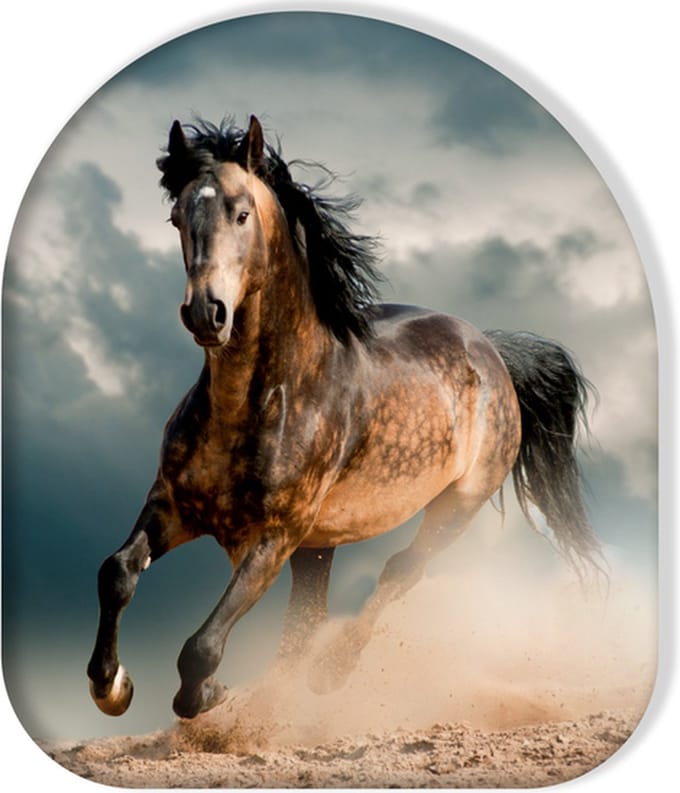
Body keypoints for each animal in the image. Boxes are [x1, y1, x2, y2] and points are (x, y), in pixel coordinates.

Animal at [87, 115, 602, 720]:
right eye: (176, 217)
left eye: (241, 212)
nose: (206, 313)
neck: (259, 402)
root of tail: (492, 351)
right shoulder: (172, 506)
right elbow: (117, 573)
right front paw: (111, 686)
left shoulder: (274, 537)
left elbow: (202, 647)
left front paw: (208, 694)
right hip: (320, 545)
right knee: (305, 621)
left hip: (455, 507)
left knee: (399, 572)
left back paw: (330, 674)